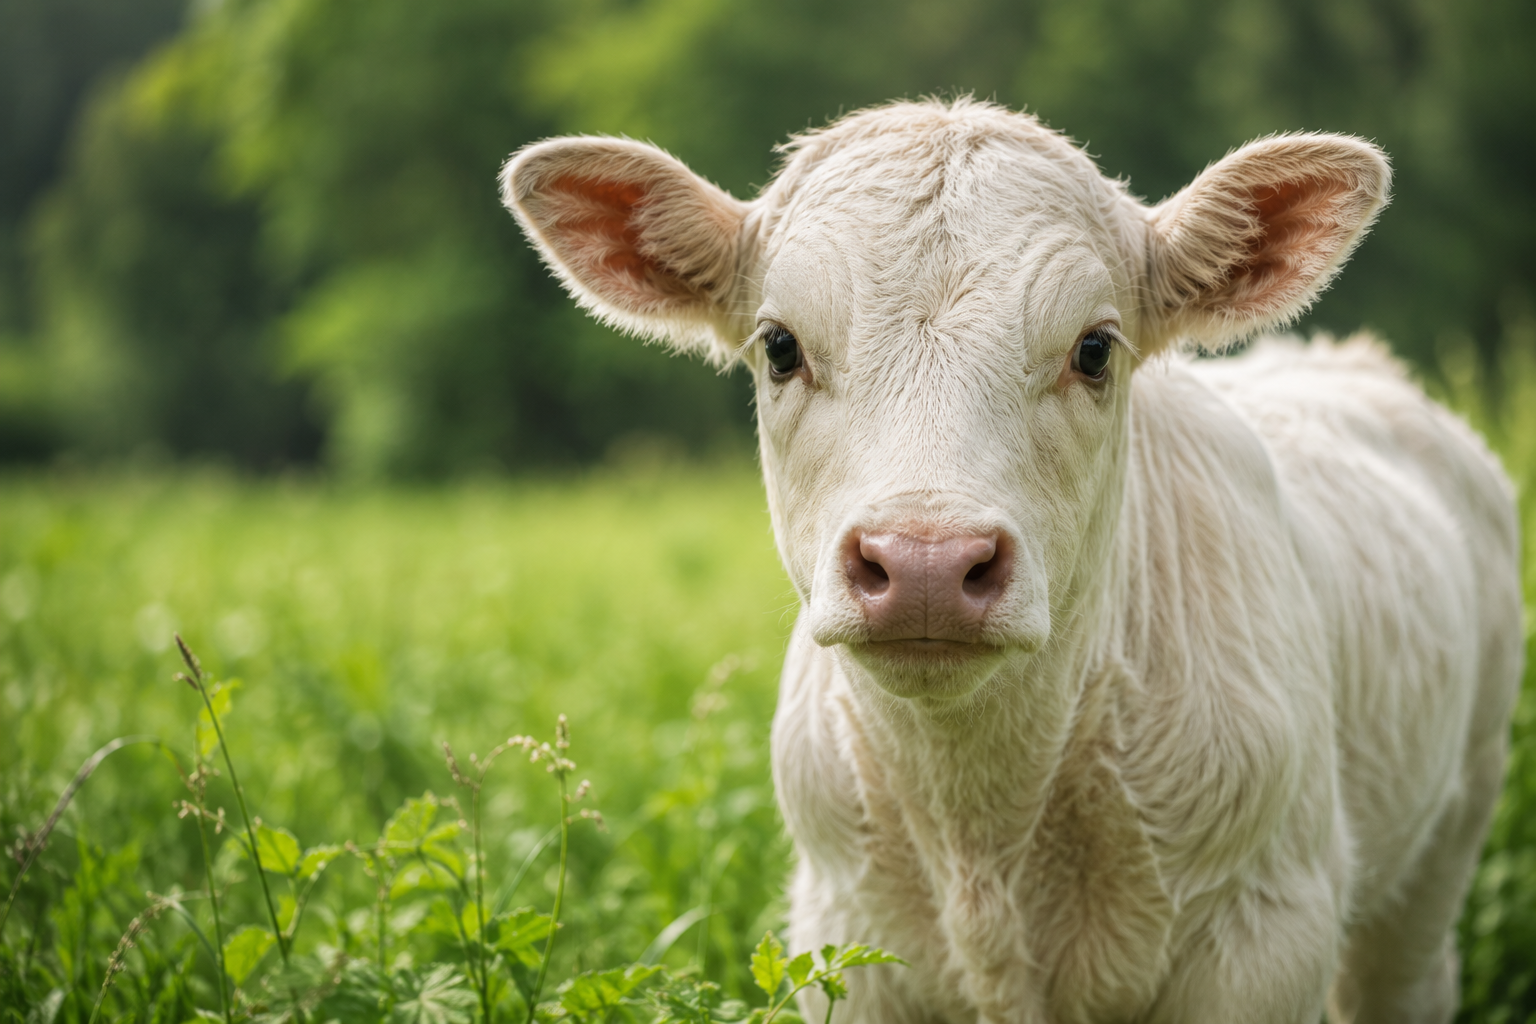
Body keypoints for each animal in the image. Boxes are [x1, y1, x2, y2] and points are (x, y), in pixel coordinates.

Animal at [500, 99, 1522, 1024]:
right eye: (780, 346)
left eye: (1095, 349)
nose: (924, 565)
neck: (982, 831)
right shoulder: (845, 938)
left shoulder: (1266, 936)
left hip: (1453, 824)